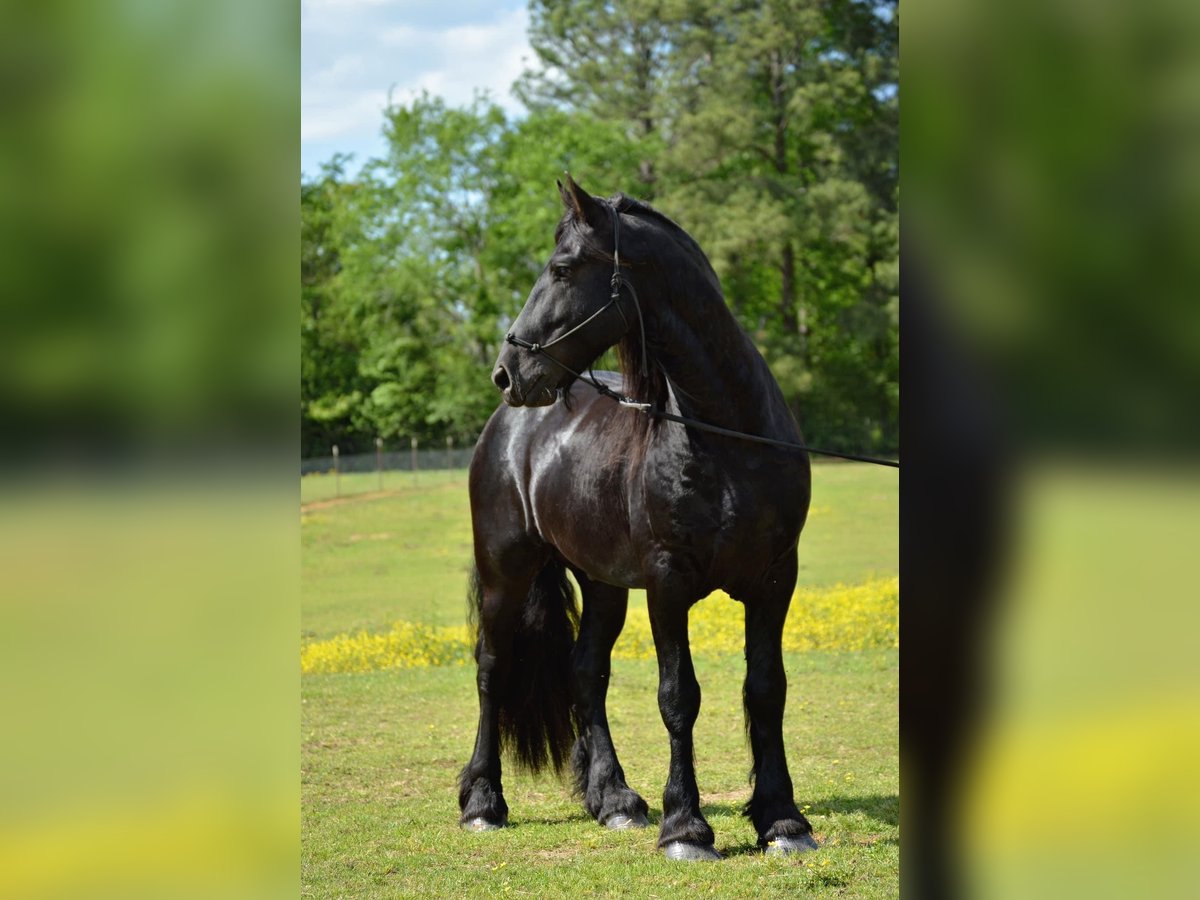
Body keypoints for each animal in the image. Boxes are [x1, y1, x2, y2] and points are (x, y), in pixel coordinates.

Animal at [456, 174, 816, 859]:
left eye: (562, 269)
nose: (506, 372)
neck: (728, 436)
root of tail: (508, 428)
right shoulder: (667, 583)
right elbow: (679, 697)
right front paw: (687, 828)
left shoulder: (774, 580)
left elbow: (767, 690)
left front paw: (782, 820)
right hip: (504, 571)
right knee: (492, 668)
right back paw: (483, 802)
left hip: (602, 584)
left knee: (586, 673)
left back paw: (615, 799)